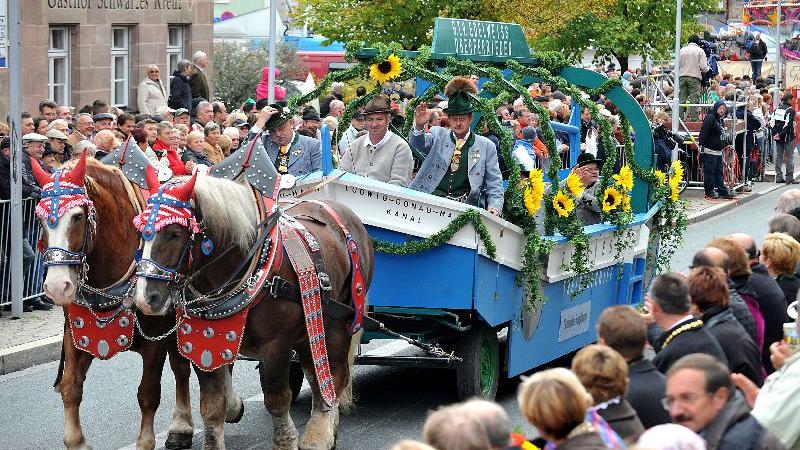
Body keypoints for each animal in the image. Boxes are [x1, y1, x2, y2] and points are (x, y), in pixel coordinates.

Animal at [31, 153, 197, 448]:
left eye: (77, 216)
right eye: (39, 219)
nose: (57, 287)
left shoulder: (155, 337)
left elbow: (148, 393)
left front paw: (146, 440)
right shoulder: (75, 333)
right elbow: (71, 387)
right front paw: (77, 440)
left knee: (182, 368)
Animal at [133, 170, 376, 450]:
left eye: (174, 233)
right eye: (140, 232)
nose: (145, 298)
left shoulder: (276, 345)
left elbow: (276, 400)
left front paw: (285, 442)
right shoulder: (204, 344)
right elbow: (212, 406)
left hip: (338, 322)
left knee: (335, 376)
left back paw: (319, 436)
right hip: (309, 328)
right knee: (316, 374)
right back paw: (324, 431)